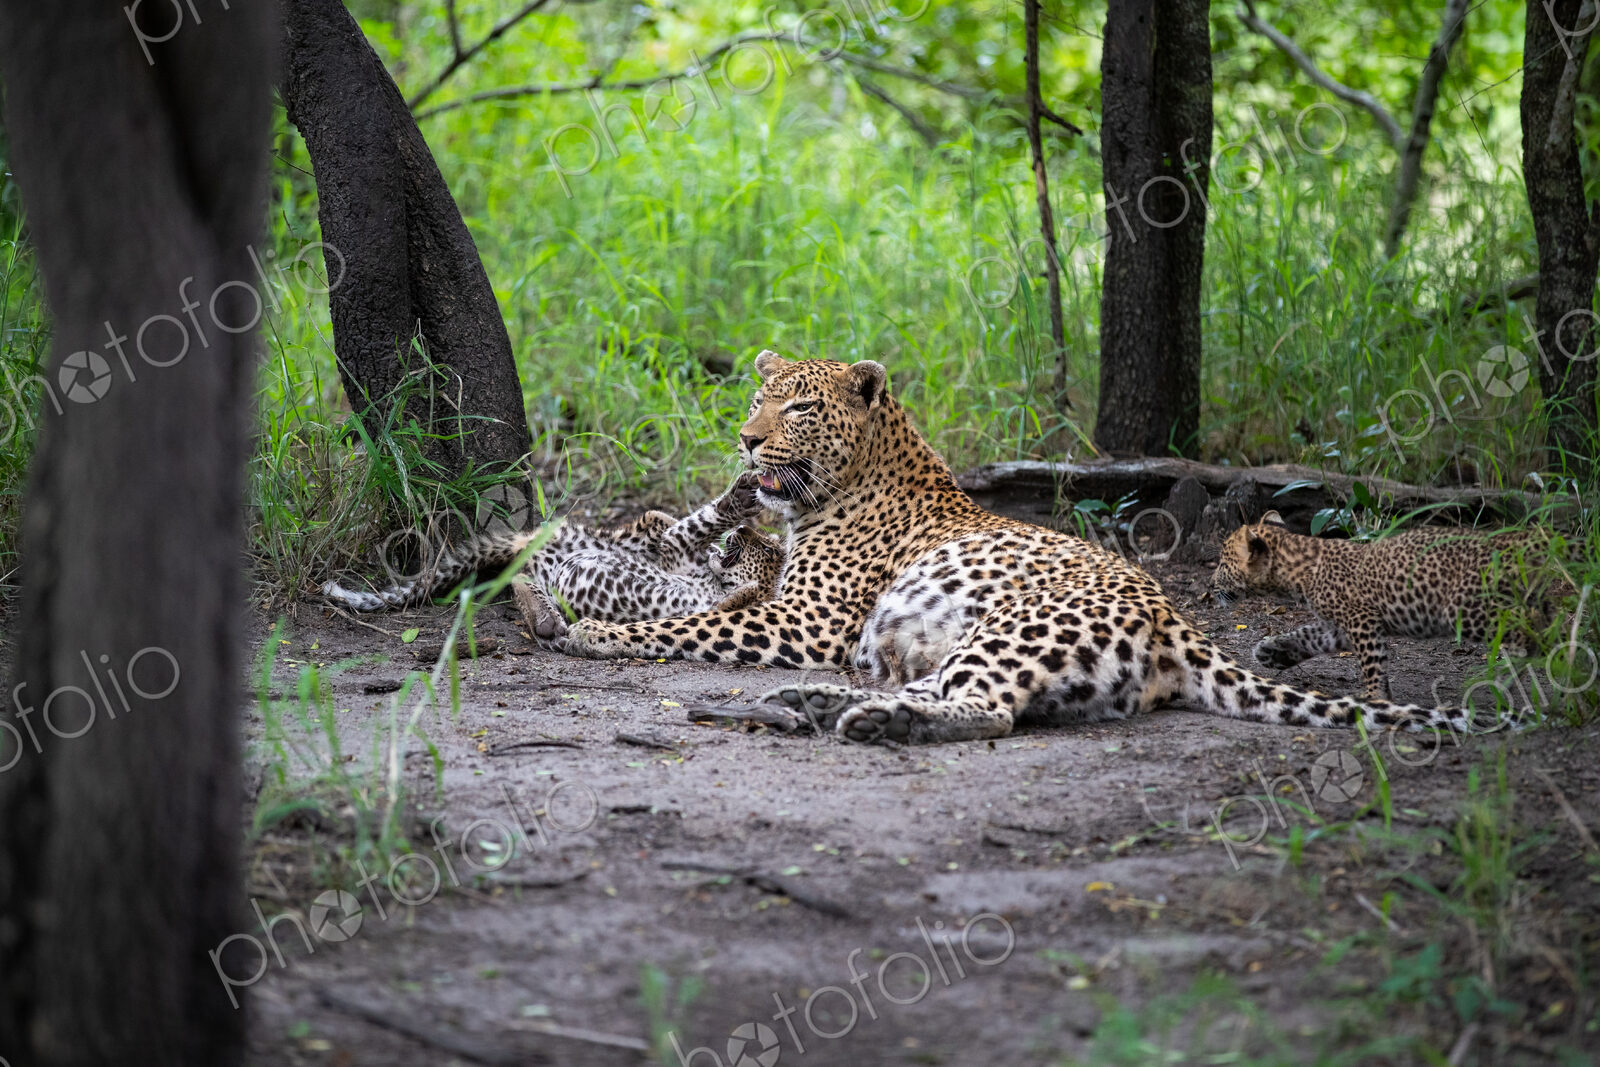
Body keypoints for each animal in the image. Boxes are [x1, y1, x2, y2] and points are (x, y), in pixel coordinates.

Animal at [322, 473, 779, 638]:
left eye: (769, 547)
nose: (744, 533)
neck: (708, 578)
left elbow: (731, 599)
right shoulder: (678, 557)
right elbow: (695, 536)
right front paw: (740, 505)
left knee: (522, 579)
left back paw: (545, 618)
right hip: (638, 537)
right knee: (663, 523)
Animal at [558, 350, 1484, 745]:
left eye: (801, 407)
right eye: (757, 399)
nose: (747, 443)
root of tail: (1178, 623)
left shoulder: (807, 619)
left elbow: (694, 625)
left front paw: (590, 629)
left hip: (1016, 627)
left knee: (991, 709)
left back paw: (871, 718)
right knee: (958, 692)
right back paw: (817, 702)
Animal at [1210, 510, 1568, 701]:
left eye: (1223, 563)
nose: (1211, 584)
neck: (1297, 569)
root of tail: (1513, 541)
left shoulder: (1362, 619)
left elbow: (1371, 662)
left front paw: (1375, 698)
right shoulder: (1339, 626)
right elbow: (1307, 636)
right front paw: (1273, 651)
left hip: (1466, 608)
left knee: (1526, 626)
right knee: (1546, 616)